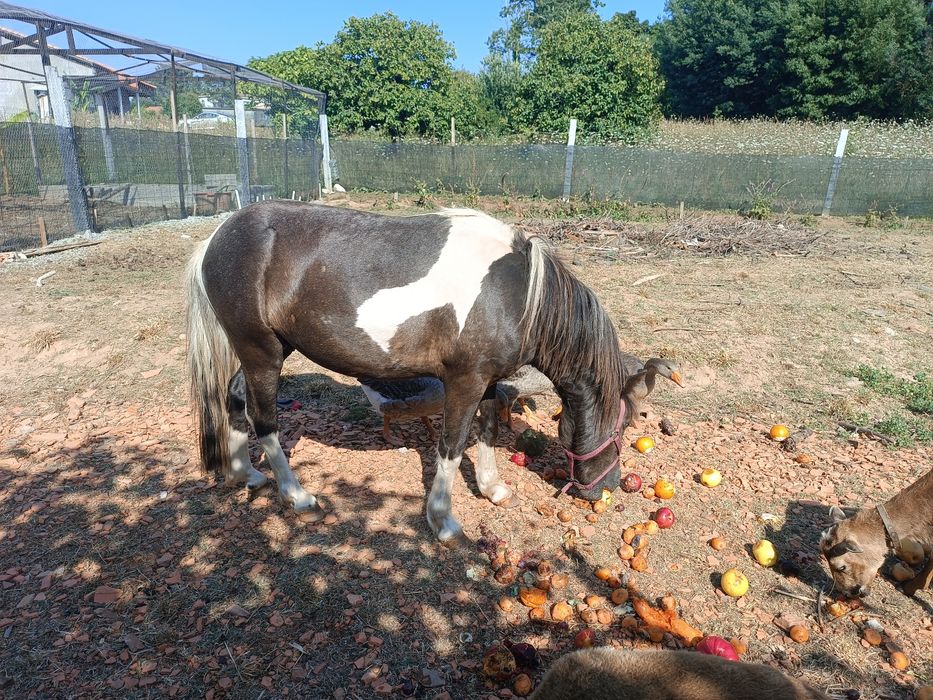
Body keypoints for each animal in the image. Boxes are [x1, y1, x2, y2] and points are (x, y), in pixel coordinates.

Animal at [185, 201, 628, 544]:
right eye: (622, 427)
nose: (608, 487)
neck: (517, 294)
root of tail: (216, 238)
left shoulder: (486, 380)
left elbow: (487, 429)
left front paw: (492, 489)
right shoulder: (464, 381)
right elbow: (451, 447)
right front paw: (443, 521)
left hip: (262, 351)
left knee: (233, 397)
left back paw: (246, 474)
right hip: (262, 353)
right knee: (265, 422)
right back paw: (299, 498)